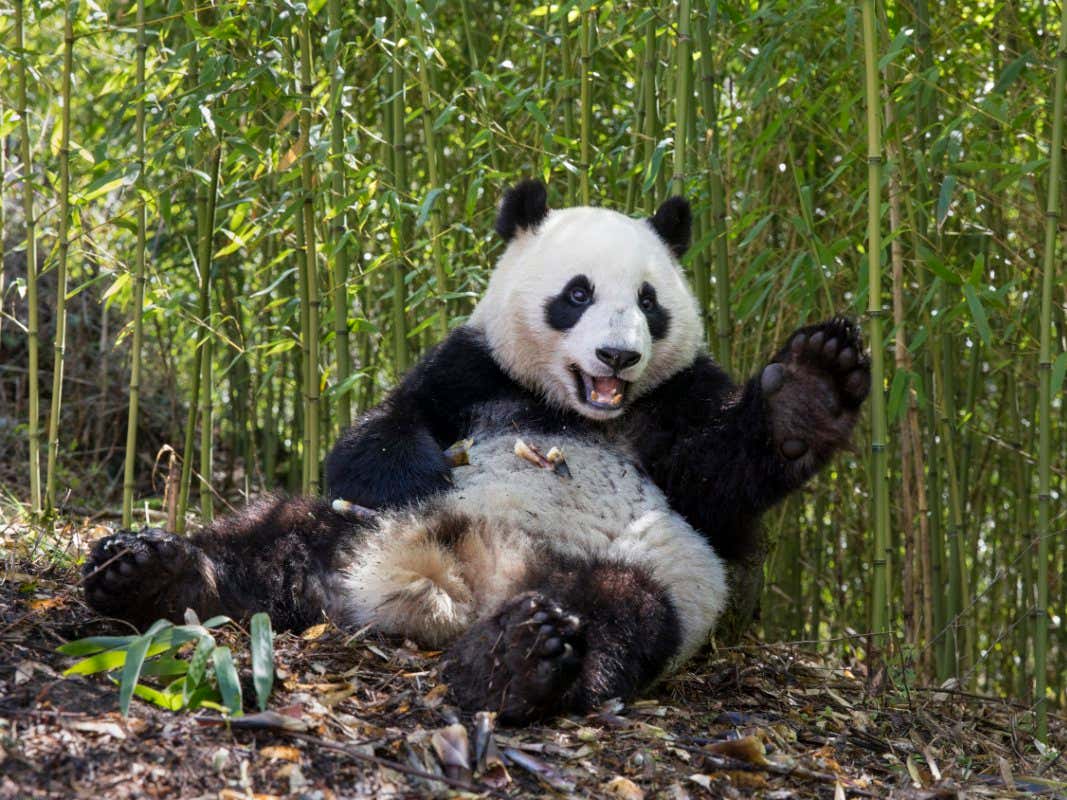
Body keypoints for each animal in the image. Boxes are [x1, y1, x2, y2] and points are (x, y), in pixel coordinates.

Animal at [83, 180, 870, 723]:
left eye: (649, 302)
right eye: (577, 294)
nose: (618, 356)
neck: (571, 410)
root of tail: (454, 588)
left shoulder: (677, 405)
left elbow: (717, 481)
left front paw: (811, 389)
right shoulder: (471, 367)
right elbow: (386, 422)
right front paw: (415, 470)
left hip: (656, 574)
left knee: (622, 616)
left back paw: (515, 661)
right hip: (347, 527)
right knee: (270, 541)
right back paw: (148, 574)